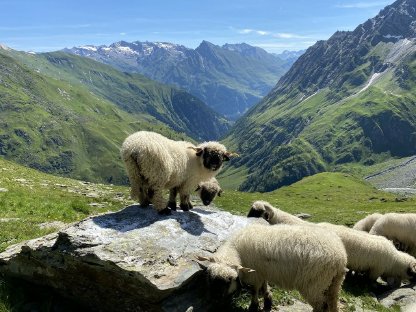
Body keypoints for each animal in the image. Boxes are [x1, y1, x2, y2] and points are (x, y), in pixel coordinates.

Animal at [198, 224, 348, 312]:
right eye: (209, 276)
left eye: (230, 279)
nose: (215, 298)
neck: (236, 250)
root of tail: (340, 257)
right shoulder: (262, 271)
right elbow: (264, 287)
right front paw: (268, 301)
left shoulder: (255, 274)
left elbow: (254, 290)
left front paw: (254, 306)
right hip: (333, 282)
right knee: (332, 302)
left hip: (314, 283)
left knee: (321, 306)